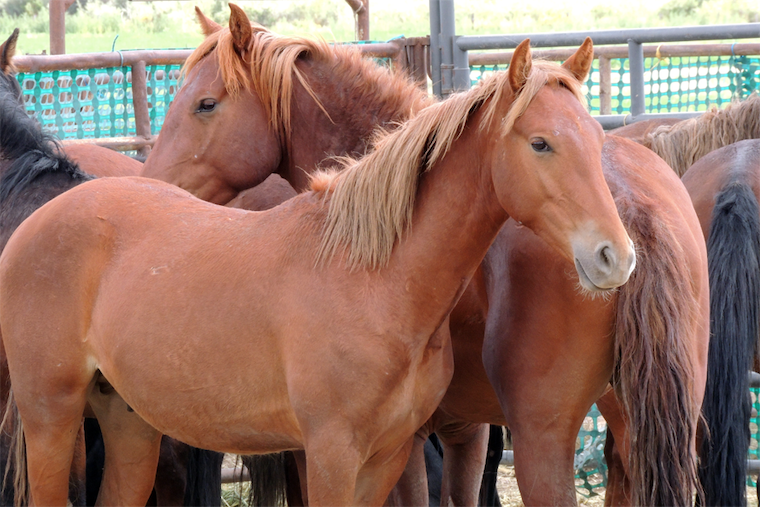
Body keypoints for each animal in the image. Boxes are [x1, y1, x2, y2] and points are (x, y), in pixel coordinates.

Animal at [142, 8, 706, 506]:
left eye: (205, 104)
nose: (151, 183)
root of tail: (635, 209)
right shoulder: (466, 429)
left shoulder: (406, 438)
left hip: (543, 439)